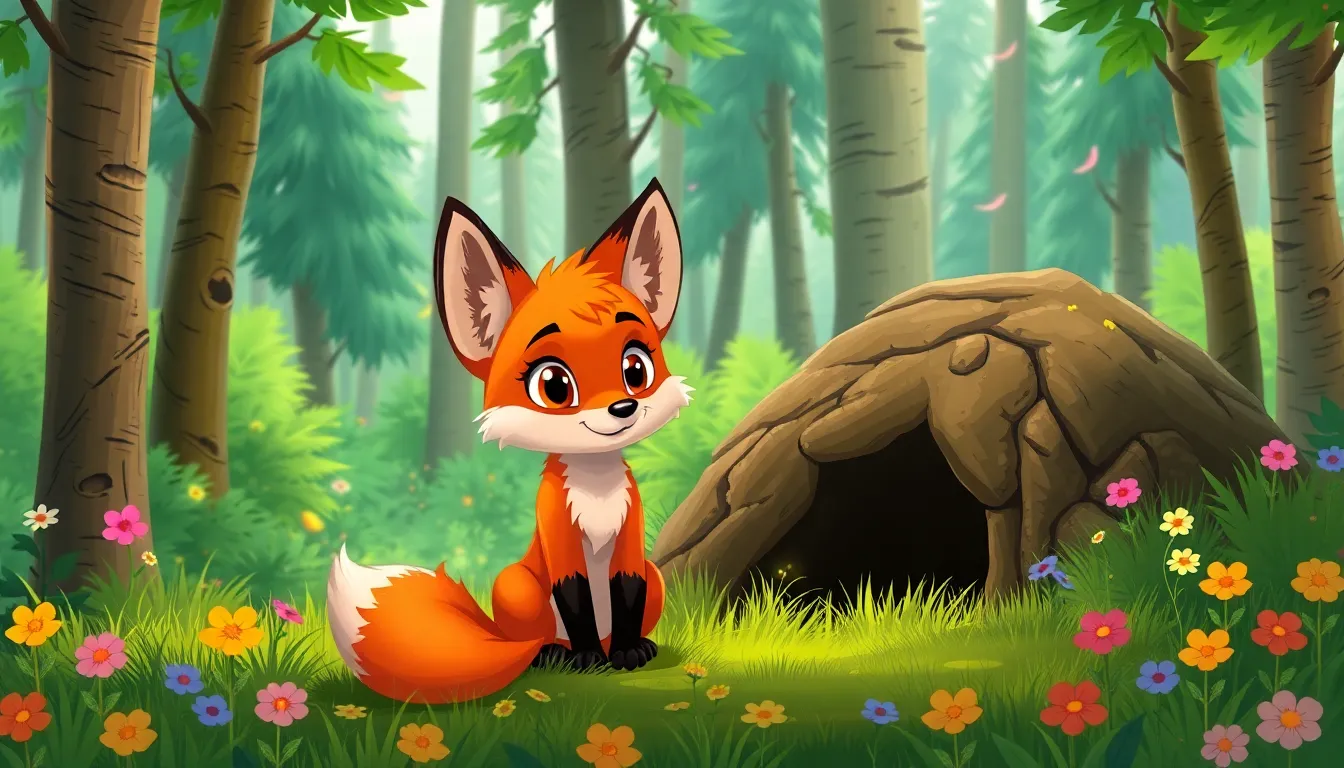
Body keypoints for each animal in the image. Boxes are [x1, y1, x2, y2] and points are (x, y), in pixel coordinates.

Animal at [326, 178, 691, 704]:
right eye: (554, 385)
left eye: (636, 368)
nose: (622, 409)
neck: (596, 491)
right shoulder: (559, 536)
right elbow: (575, 596)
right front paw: (589, 662)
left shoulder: (630, 539)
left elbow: (627, 594)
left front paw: (627, 654)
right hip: (515, 585)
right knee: (536, 641)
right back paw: (558, 654)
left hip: (655, 577)